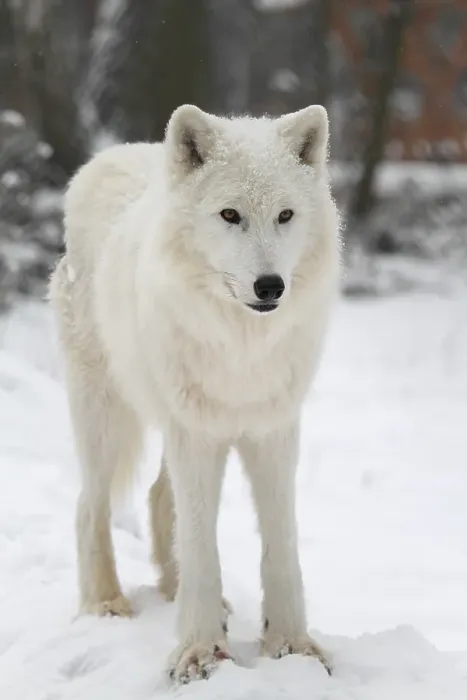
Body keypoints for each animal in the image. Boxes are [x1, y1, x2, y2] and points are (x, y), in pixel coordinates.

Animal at [49, 103, 340, 683]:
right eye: (230, 215)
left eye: (286, 215)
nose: (270, 286)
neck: (242, 347)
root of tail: (109, 156)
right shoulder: (198, 435)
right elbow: (203, 546)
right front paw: (203, 653)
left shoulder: (273, 430)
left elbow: (281, 544)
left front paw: (293, 646)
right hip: (107, 417)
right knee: (89, 506)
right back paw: (105, 604)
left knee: (159, 498)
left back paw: (170, 590)